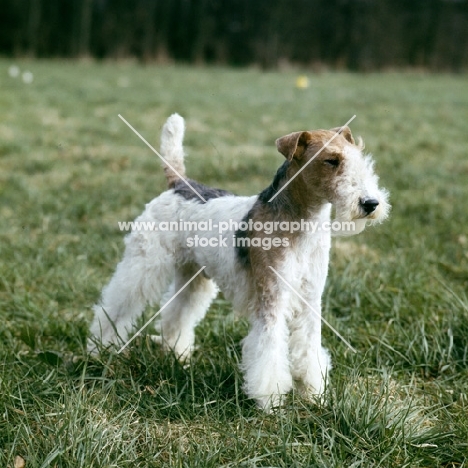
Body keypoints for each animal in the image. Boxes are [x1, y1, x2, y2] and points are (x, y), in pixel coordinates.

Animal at [89, 115, 390, 412]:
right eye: (331, 160)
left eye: (358, 157)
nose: (371, 203)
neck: (302, 223)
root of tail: (179, 184)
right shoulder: (272, 297)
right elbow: (269, 350)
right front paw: (271, 401)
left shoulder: (310, 299)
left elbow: (308, 349)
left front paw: (314, 395)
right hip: (143, 264)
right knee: (114, 308)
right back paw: (100, 350)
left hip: (193, 276)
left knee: (177, 314)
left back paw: (176, 354)